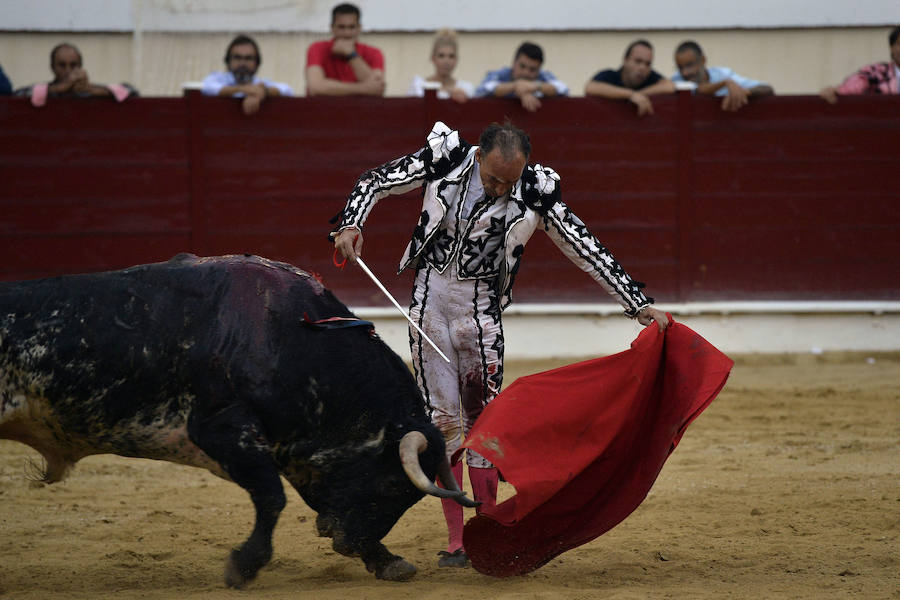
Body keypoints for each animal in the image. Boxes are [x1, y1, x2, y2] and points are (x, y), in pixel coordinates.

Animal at [0, 253, 474, 584]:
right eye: (393, 484)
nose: (343, 541)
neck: (294, 340)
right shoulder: (221, 430)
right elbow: (271, 498)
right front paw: (243, 566)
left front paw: (387, 561)